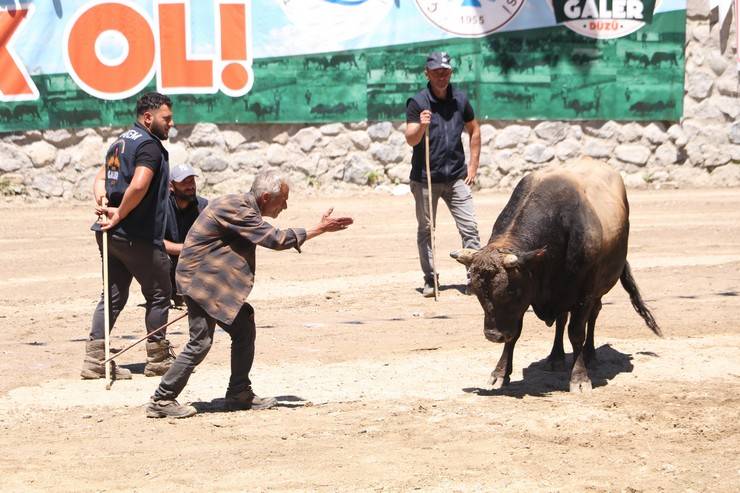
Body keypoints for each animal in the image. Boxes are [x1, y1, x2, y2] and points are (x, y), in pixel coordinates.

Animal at [454, 160, 660, 390]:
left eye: (511, 293)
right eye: (478, 294)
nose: (493, 335)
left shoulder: (582, 294)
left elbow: (576, 332)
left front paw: (580, 378)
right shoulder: (530, 294)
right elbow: (515, 333)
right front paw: (500, 372)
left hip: (597, 290)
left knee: (593, 315)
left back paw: (590, 355)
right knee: (561, 320)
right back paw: (555, 357)